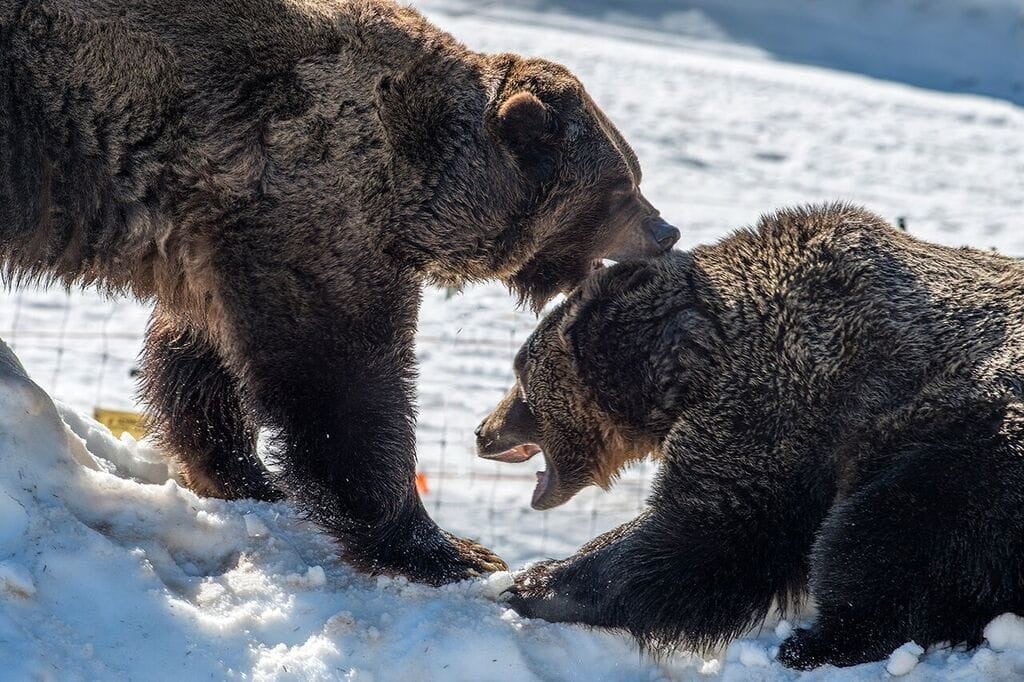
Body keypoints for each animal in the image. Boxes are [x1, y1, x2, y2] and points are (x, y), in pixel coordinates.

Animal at [0, 0, 678, 585]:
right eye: (623, 186)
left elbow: (197, 361)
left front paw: (245, 476)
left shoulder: (220, 240)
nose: (666, 230)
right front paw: (448, 549)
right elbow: (341, 384)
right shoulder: (317, 215)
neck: (418, 190)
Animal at [476, 204, 1024, 668]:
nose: (483, 432)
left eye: (520, 373)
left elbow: (704, 532)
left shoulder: (784, 403)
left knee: (878, 535)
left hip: (966, 455)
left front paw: (535, 581)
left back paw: (814, 644)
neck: (693, 363)